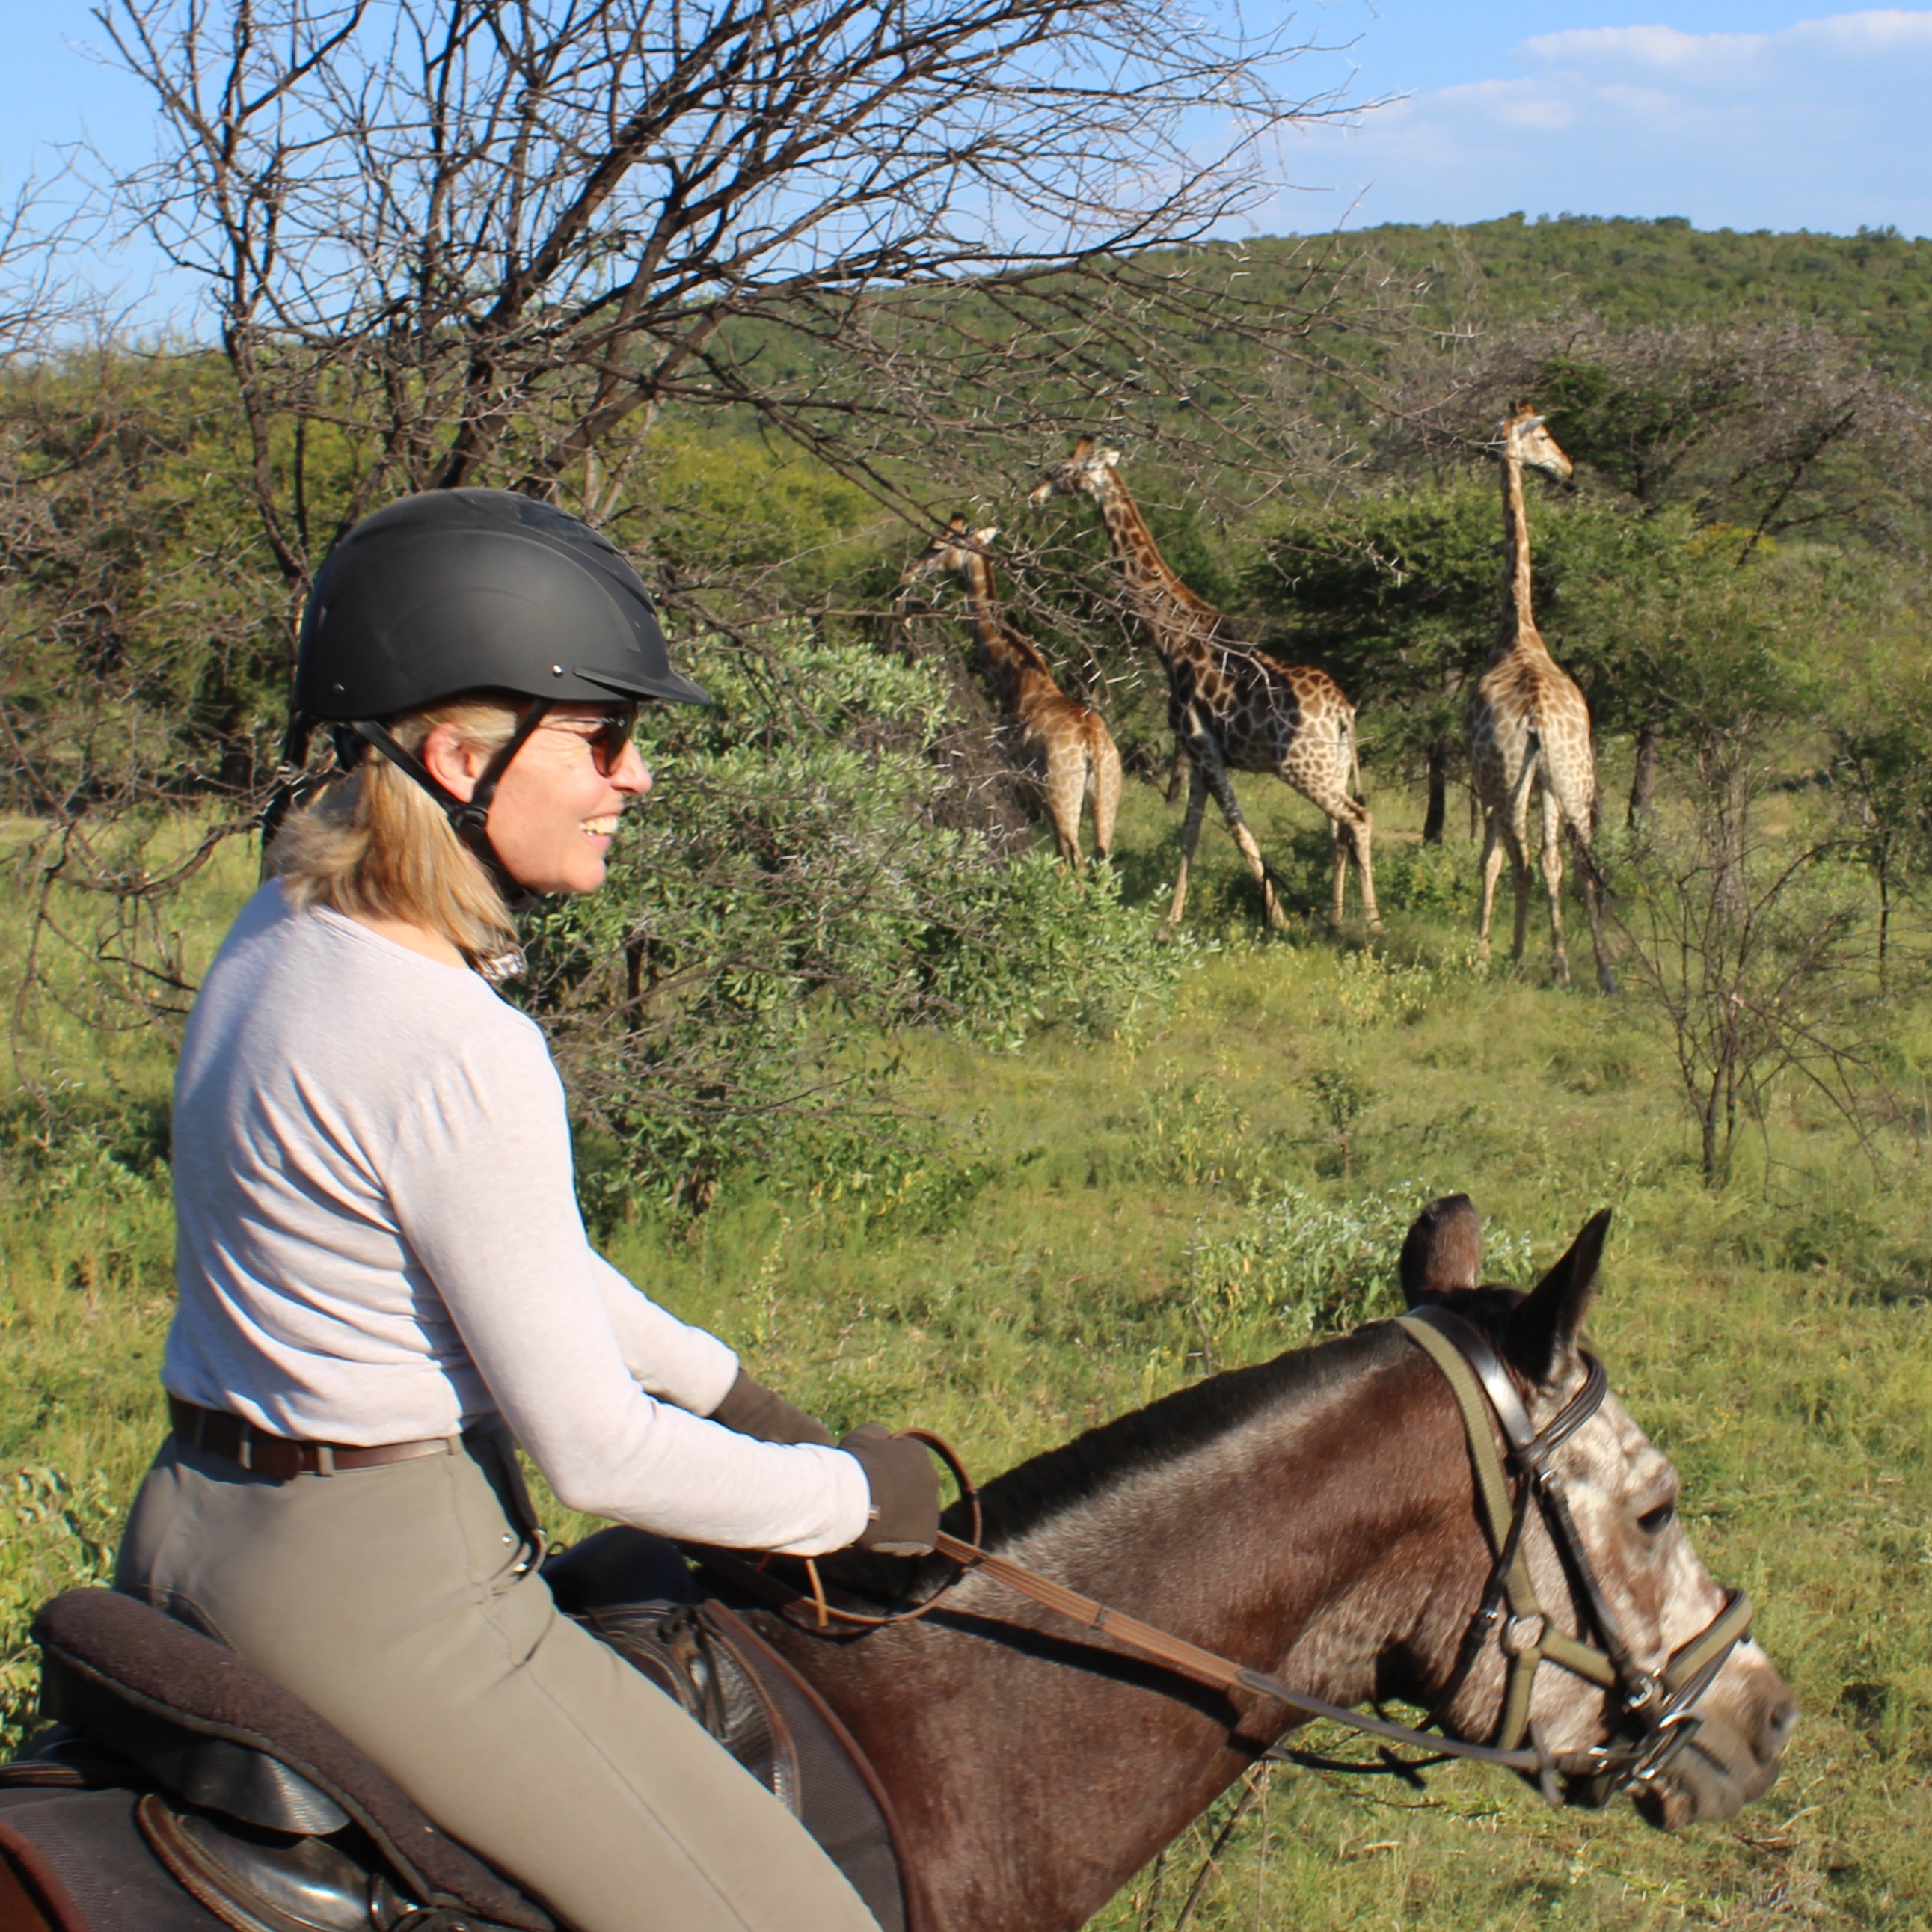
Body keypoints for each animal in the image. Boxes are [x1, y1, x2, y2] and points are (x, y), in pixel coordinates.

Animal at [897, 517, 1122, 868]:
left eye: (937, 546)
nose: (908, 573)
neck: (1014, 677)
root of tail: (1093, 744)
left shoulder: (1015, 779)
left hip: (1061, 796)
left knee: (1073, 862)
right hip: (1107, 796)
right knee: (1100, 863)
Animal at [1029, 439, 1377, 934]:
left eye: (1064, 470)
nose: (1035, 494)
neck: (1171, 638)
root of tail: (1344, 712)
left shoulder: (1201, 744)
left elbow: (1236, 828)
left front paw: (1278, 919)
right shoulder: (1196, 755)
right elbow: (1189, 833)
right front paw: (1170, 921)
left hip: (1301, 767)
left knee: (1358, 818)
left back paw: (1372, 923)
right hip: (1336, 764)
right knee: (1338, 830)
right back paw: (1335, 918)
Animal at [1466, 403, 1615, 993]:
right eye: (1547, 437)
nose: (1567, 470)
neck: (1519, 631)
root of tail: (1533, 715)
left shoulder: (1485, 783)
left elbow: (1489, 861)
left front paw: (1481, 953)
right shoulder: (1549, 782)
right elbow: (1555, 862)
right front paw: (1559, 959)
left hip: (1511, 780)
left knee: (1519, 859)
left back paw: (1512, 958)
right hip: (1575, 778)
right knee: (1581, 865)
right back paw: (1600, 971)